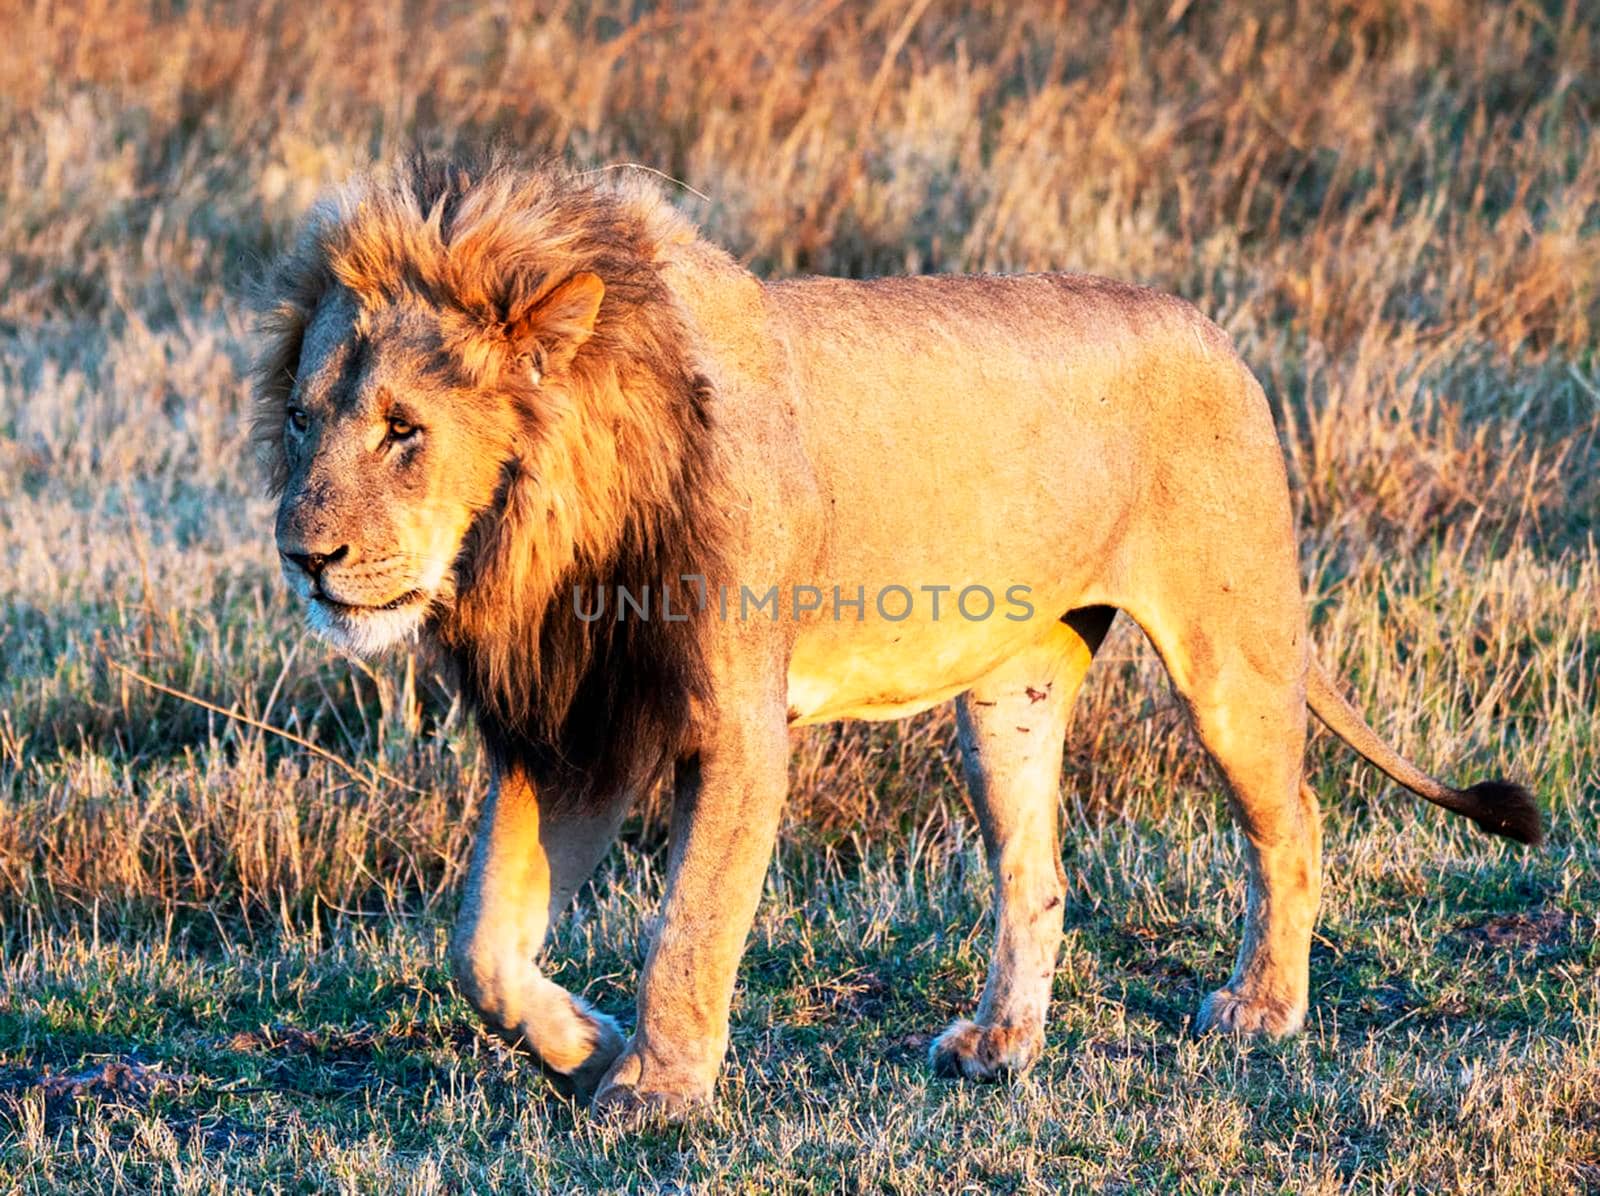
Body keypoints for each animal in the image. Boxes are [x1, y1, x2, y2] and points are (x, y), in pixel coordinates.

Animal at [256, 154, 1542, 1119]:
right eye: (302, 420)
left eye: (403, 428)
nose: (302, 555)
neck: (538, 540)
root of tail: (1216, 332)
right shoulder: (575, 723)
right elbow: (481, 944)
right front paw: (591, 1045)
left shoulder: (733, 725)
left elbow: (689, 924)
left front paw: (652, 1090)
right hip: (1006, 697)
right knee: (1036, 870)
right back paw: (999, 1043)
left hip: (1230, 653)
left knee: (1294, 820)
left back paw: (1263, 1008)